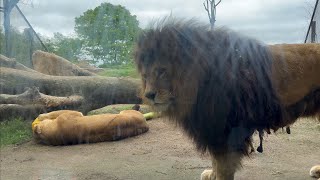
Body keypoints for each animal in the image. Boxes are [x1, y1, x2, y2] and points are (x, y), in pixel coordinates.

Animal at [133, 18, 320, 180]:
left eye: (161, 71)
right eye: (145, 75)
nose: (149, 95)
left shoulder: (225, 130)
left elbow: (223, 166)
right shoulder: (214, 129)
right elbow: (216, 162)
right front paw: (212, 174)